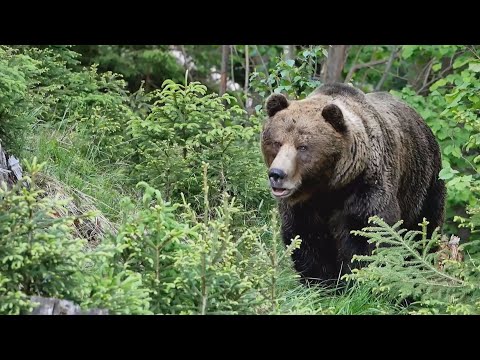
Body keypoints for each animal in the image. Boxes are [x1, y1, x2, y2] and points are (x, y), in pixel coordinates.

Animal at [260, 83, 444, 286]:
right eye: (276, 143)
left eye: (302, 146)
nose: (277, 174)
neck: (328, 190)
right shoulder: (303, 208)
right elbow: (305, 241)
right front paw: (321, 283)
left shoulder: (365, 191)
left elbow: (370, 237)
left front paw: (359, 281)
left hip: (424, 185)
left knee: (422, 233)